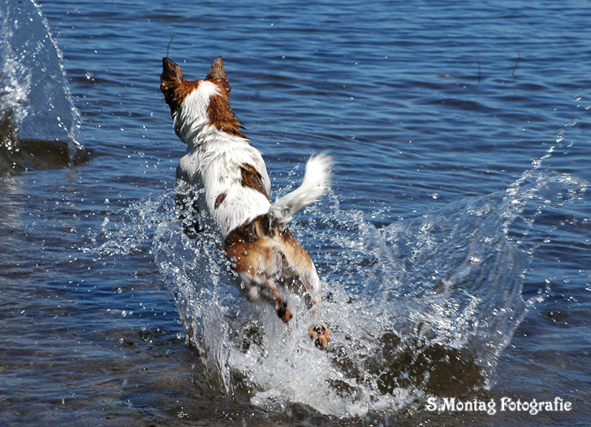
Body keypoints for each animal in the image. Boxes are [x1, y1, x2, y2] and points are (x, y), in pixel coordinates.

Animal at [160, 56, 330, 352]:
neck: (216, 133)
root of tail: (263, 223)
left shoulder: (182, 178)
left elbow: (187, 217)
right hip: (307, 277)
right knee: (314, 306)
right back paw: (318, 332)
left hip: (245, 281)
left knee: (268, 290)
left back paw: (282, 307)